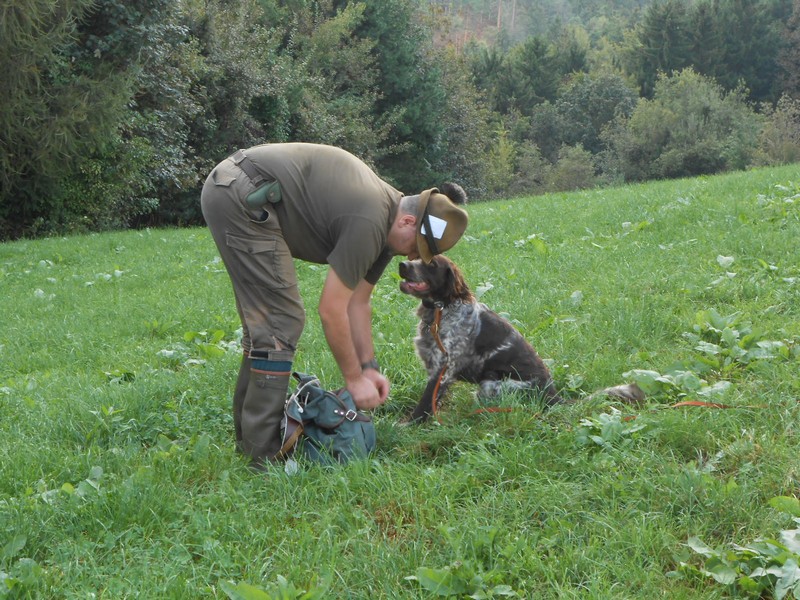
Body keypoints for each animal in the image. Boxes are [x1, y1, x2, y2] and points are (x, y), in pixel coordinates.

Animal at [398, 255, 643, 422]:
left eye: (431, 264)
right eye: (414, 257)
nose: (402, 265)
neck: (442, 310)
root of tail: (554, 397)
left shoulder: (443, 369)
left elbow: (425, 404)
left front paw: (409, 425)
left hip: (491, 383)